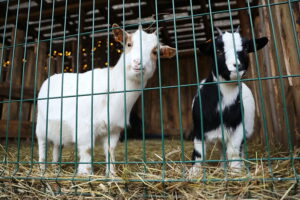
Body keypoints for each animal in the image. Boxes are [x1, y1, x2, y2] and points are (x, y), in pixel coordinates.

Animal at [35, 24, 176, 176]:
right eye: (129, 44)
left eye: (155, 52)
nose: (138, 63)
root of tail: (52, 77)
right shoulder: (84, 128)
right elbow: (87, 150)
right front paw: (85, 173)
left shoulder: (114, 129)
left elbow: (110, 150)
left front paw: (111, 174)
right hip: (41, 126)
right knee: (42, 145)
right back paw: (42, 169)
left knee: (56, 146)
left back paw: (56, 168)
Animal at [189, 27, 268, 175]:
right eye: (218, 50)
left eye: (245, 49)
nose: (237, 66)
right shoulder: (198, 128)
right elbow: (199, 153)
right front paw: (193, 174)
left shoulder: (239, 127)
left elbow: (233, 152)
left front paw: (236, 172)